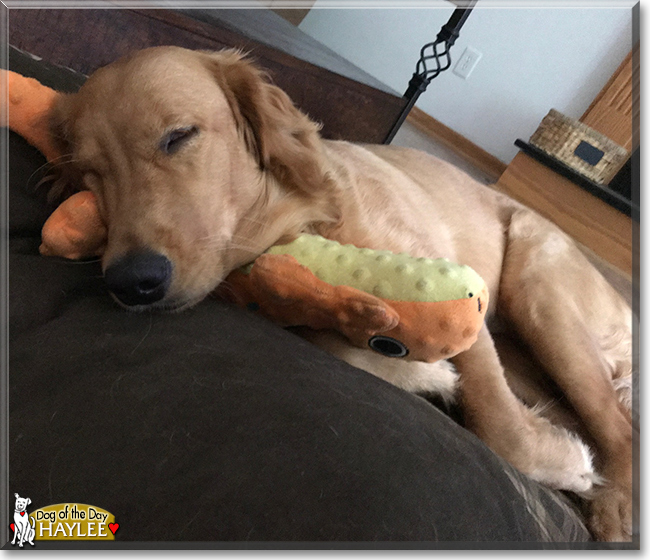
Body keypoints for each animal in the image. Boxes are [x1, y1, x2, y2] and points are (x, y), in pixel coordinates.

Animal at [49, 46, 632, 540]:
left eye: (178, 136)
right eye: (88, 173)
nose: (130, 282)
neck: (299, 225)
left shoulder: (461, 284)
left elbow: (499, 425)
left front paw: (567, 464)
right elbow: (351, 349)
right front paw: (423, 373)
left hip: (540, 285)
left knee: (619, 426)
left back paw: (616, 506)